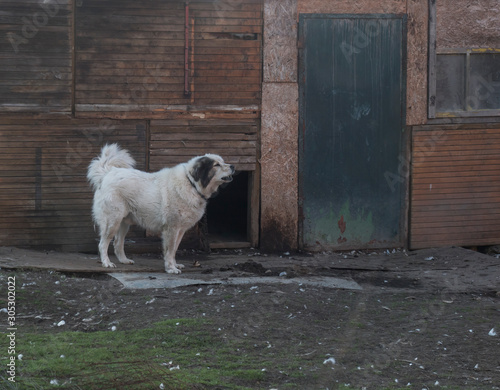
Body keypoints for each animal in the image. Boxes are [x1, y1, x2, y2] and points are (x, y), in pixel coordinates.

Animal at [87, 144, 234, 274]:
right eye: (217, 165)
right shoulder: (171, 228)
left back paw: (124, 260)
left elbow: (174, 250)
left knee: (118, 243)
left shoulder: (180, 230)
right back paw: (107, 263)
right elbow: (169, 250)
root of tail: (108, 173)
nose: (232, 166)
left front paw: (175, 265)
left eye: (223, 162)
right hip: (112, 222)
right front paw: (171, 269)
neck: (192, 184)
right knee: (103, 244)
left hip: (123, 223)